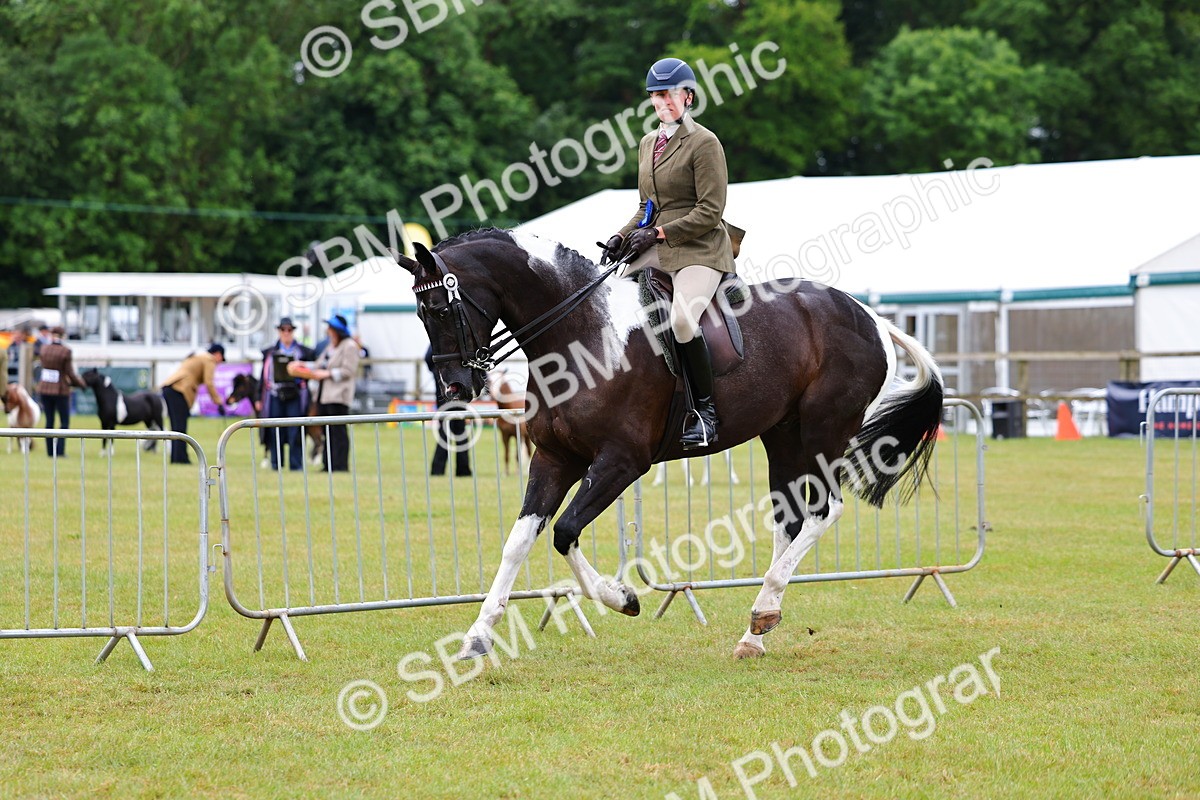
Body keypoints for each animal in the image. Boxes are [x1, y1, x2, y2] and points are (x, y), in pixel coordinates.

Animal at [396, 228, 942, 660]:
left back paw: (764, 607)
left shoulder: (621, 461)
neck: (582, 333)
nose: (454, 388)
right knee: (790, 519)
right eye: (418, 314)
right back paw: (755, 633)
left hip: (824, 433)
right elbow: (520, 541)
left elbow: (565, 531)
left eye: (439, 307)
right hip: (782, 436)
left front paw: (622, 597)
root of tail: (870, 316)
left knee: (823, 511)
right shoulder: (554, 458)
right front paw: (477, 636)